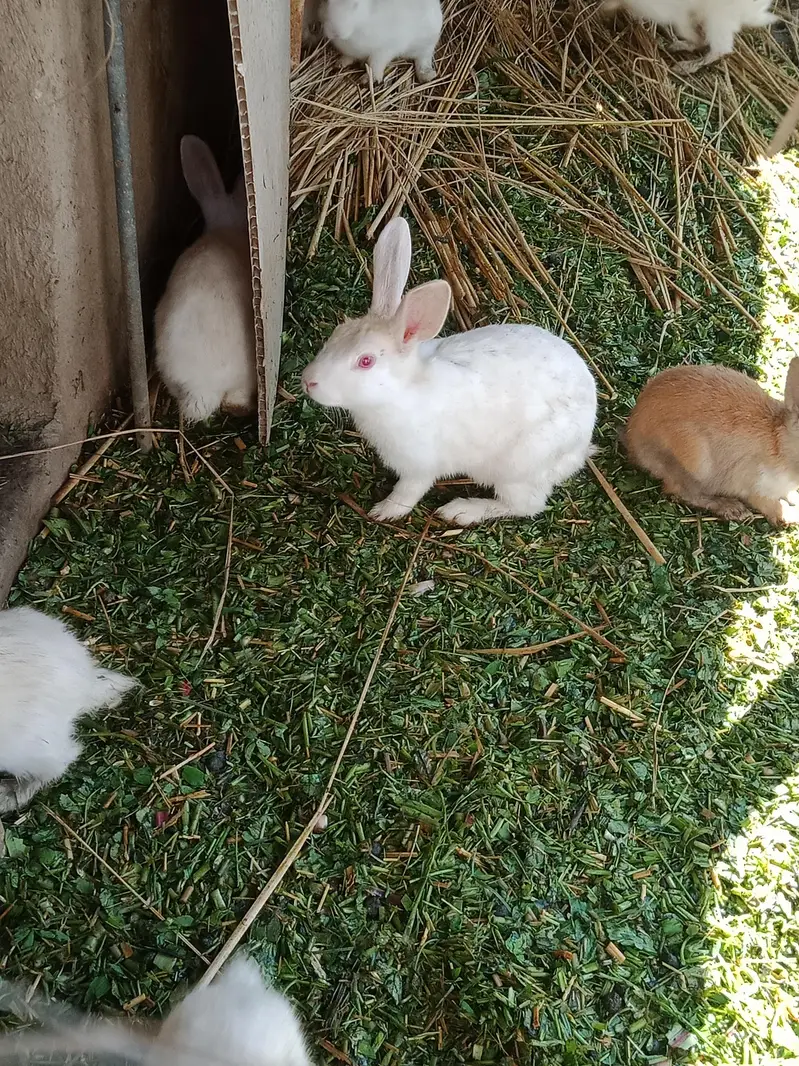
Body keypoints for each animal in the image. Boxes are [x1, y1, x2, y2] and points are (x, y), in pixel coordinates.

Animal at [300, 217, 597, 526]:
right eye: (336, 333)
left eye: (366, 361)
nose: (308, 381)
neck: (400, 393)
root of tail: (580, 448)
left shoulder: (420, 467)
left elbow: (408, 492)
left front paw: (384, 511)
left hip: (517, 469)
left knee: (526, 505)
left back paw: (460, 511)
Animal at [623, 359, 799, 524]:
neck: (780, 445)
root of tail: (632, 437)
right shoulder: (756, 486)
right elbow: (771, 504)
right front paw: (790, 515)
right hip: (692, 462)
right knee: (683, 492)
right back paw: (733, 509)